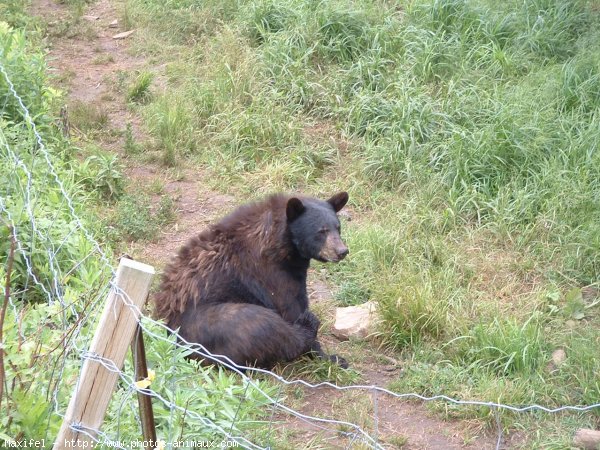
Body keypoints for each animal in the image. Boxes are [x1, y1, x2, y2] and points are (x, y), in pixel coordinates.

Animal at [154, 190, 352, 370]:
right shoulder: (272, 274)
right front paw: (330, 358)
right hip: (217, 322)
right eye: (321, 231)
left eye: (338, 227)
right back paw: (308, 325)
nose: (342, 251)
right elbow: (291, 306)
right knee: (266, 325)